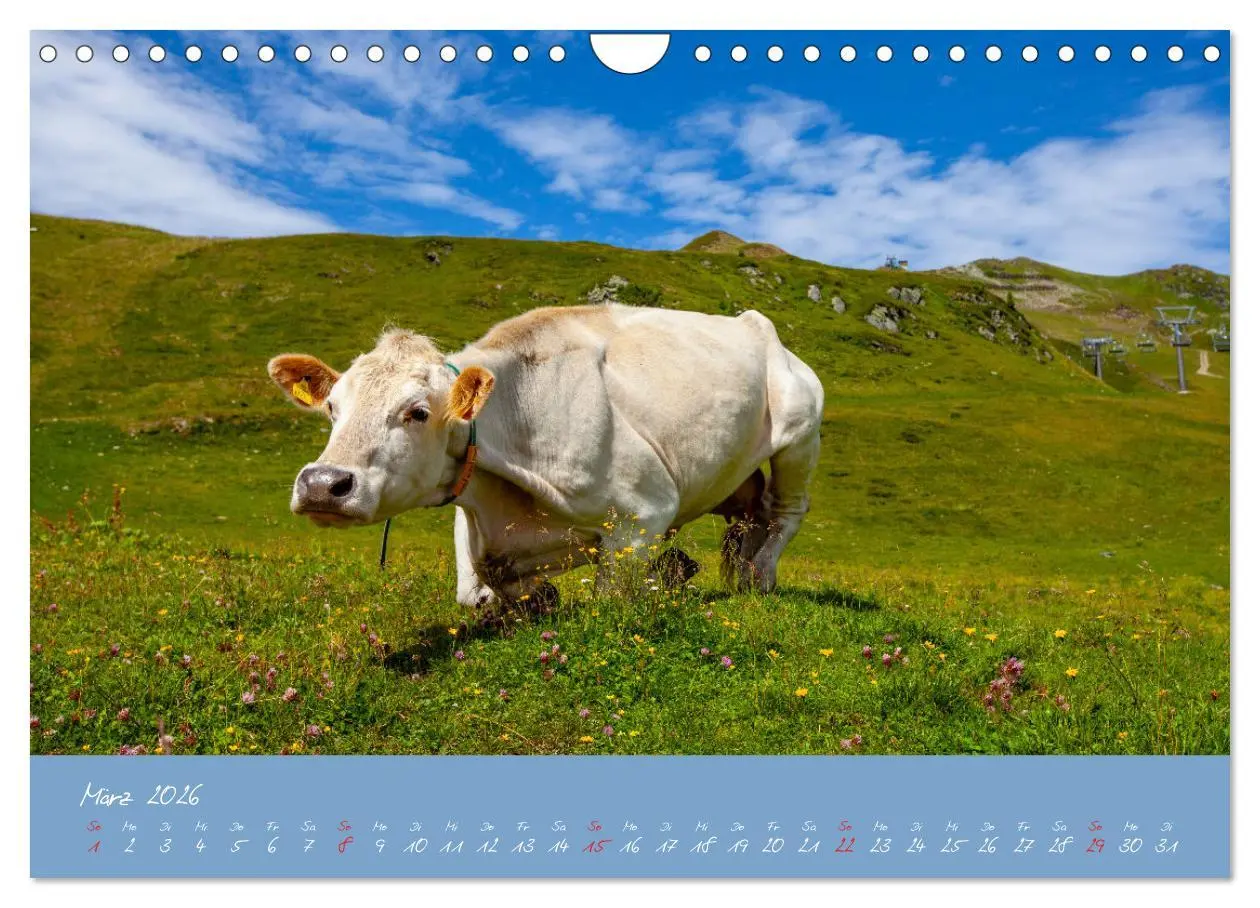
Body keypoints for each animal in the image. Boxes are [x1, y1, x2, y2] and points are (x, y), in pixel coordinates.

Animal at [267, 303, 823, 606]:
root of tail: (756, 325)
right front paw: (536, 598)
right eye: (333, 408)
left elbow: (611, 598)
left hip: (800, 434)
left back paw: (758, 576)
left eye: (418, 412)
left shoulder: (646, 510)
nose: (322, 485)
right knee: (749, 519)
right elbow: (474, 591)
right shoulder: (474, 510)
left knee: (784, 513)